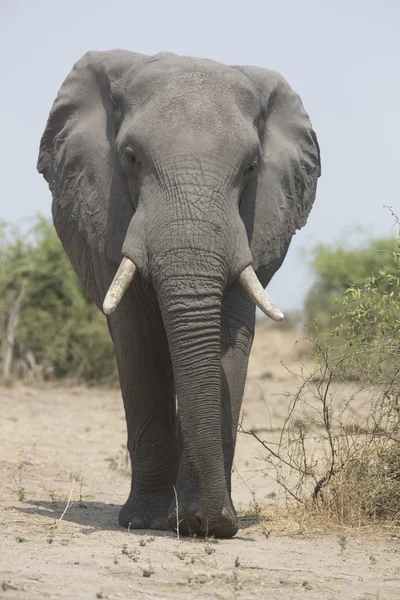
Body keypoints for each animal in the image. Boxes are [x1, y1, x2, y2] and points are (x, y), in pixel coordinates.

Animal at [36, 51, 318, 540]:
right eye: (130, 158)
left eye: (251, 167)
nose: (211, 522)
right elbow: (138, 341)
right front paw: (146, 522)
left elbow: (227, 338)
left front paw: (203, 521)